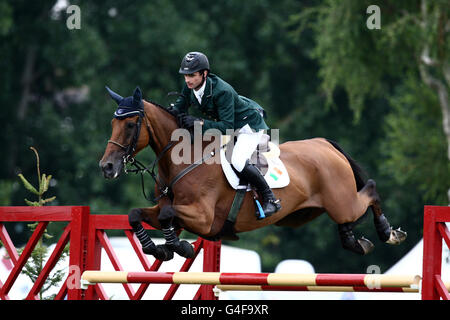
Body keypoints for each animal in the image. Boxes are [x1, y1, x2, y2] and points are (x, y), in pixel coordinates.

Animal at [99, 86, 408, 262]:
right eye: (113, 122)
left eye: (130, 125)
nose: (107, 167)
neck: (183, 160)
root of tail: (325, 144)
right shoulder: (170, 209)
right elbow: (137, 214)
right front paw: (159, 249)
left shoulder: (203, 217)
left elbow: (166, 216)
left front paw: (179, 247)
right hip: (307, 213)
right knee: (347, 219)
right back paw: (355, 242)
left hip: (342, 201)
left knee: (370, 189)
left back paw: (388, 232)